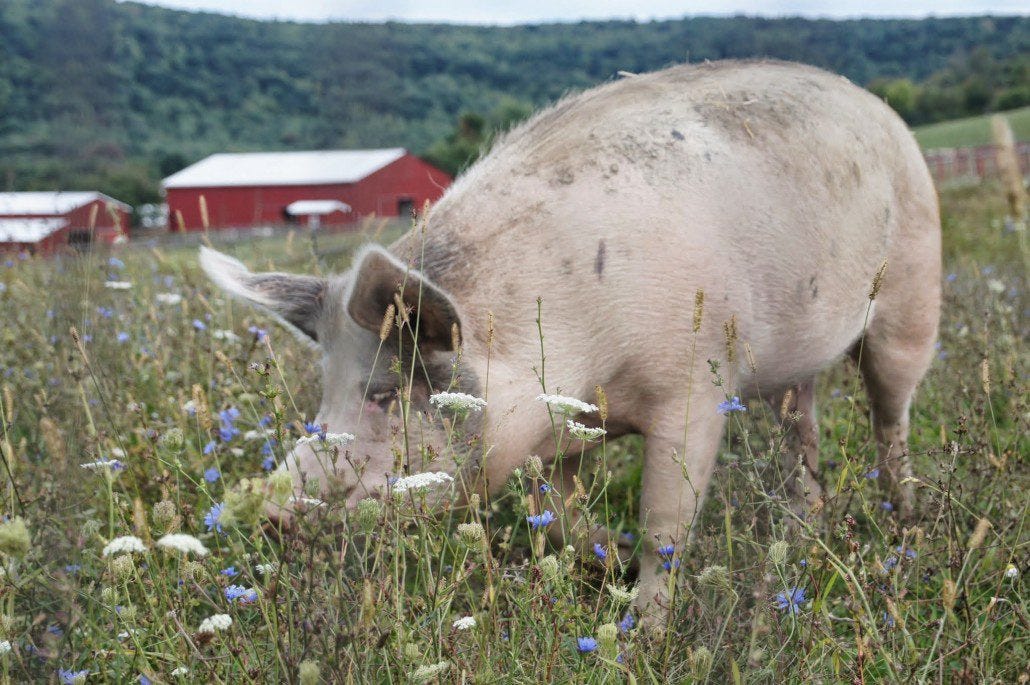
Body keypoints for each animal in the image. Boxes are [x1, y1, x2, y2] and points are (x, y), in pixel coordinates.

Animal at [200, 57, 943, 613]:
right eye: (322, 397)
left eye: (384, 392)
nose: (265, 507)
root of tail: (879, 107)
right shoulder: (553, 433)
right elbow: (556, 513)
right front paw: (611, 555)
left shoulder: (693, 387)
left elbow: (666, 524)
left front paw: (643, 632)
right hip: (797, 365)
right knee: (803, 427)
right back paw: (802, 527)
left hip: (910, 296)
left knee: (890, 413)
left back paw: (902, 518)